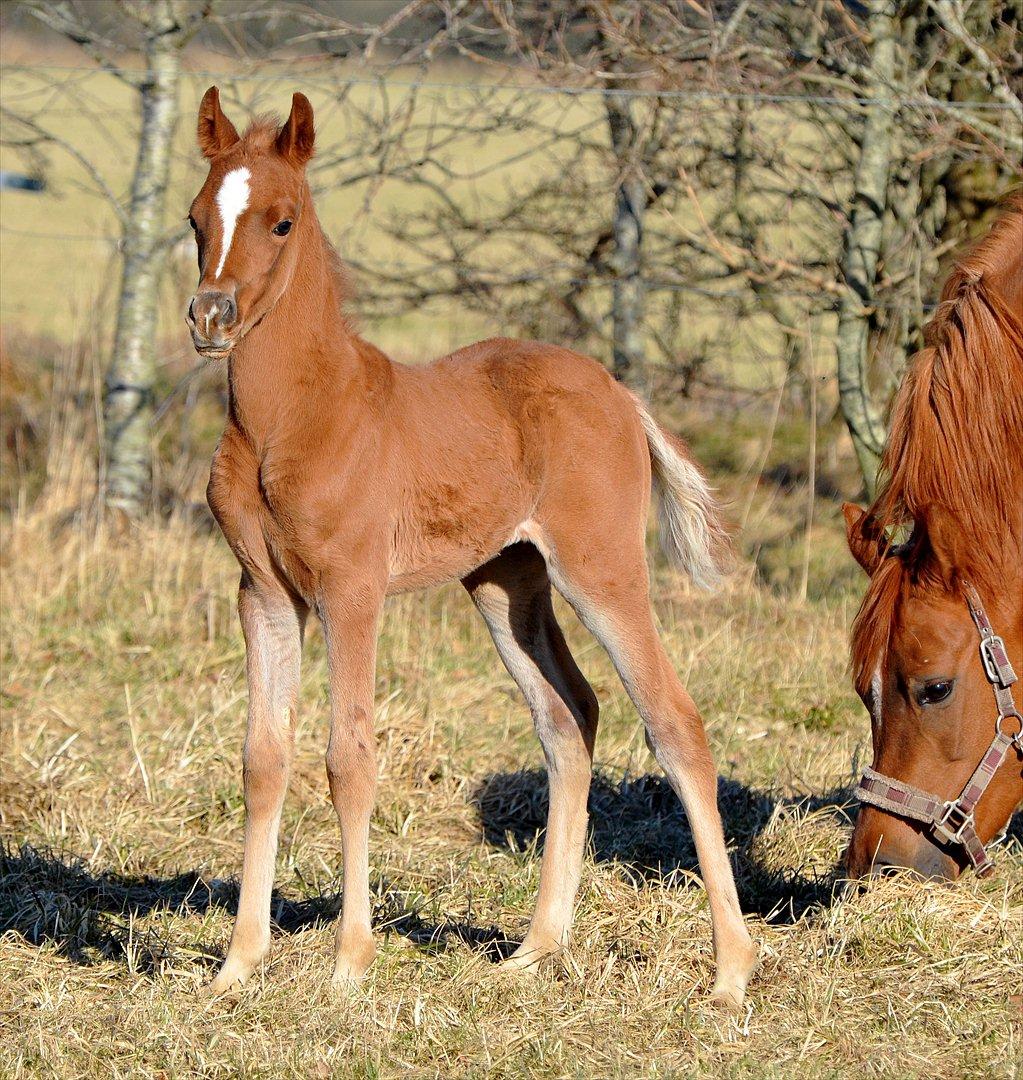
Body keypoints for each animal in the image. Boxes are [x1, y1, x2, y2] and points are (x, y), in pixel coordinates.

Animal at [187, 88, 756, 1006]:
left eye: (281, 221)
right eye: (197, 216)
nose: (211, 317)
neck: (293, 416)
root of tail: (620, 395)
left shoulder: (351, 591)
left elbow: (349, 758)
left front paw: (349, 965)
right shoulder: (264, 595)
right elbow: (262, 760)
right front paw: (239, 965)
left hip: (599, 569)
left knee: (673, 724)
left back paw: (732, 970)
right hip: (505, 581)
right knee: (568, 718)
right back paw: (538, 946)